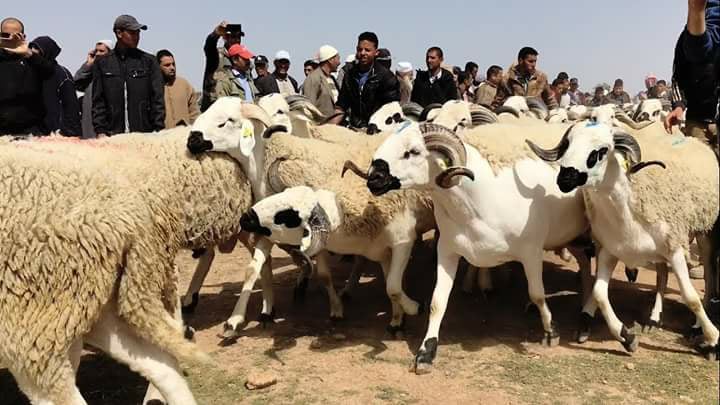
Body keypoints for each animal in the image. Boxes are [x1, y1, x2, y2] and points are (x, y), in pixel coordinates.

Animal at [524, 120, 716, 356]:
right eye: (568, 144)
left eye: (601, 151)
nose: (565, 178)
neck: (628, 209)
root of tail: (691, 139)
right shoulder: (610, 250)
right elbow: (599, 293)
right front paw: (626, 337)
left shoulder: (675, 249)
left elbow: (690, 297)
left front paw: (712, 337)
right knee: (662, 275)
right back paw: (653, 318)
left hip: (704, 231)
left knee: (708, 274)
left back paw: (696, 325)